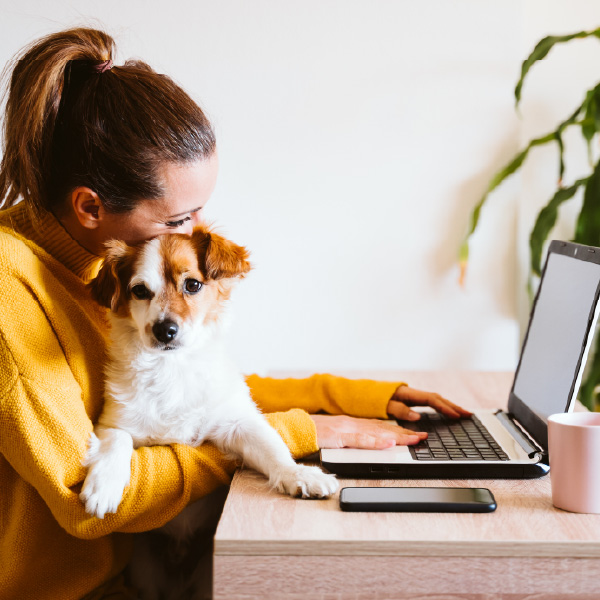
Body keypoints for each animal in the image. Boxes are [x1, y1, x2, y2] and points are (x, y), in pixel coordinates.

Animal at [81, 224, 338, 520]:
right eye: (140, 291)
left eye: (192, 285)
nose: (164, 330)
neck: (172, 368)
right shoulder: (112, 422)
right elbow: (116, 441)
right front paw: (104, 484)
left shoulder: (237, 422)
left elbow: (272, 447)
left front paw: (299, 474)